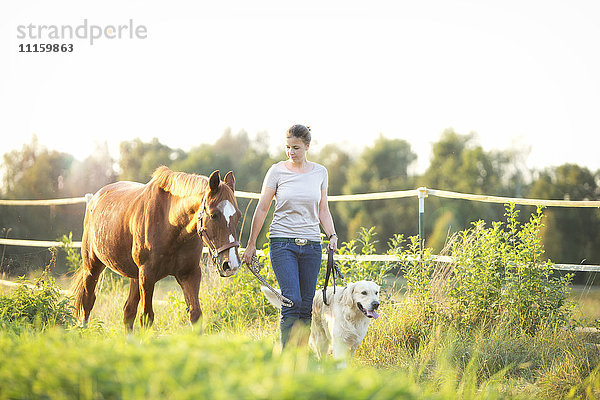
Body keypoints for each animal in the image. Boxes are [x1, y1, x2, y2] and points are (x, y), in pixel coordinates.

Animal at [74, 166, 243, 328]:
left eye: (238, 216)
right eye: (214, 215)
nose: (231, 264)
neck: (170, 224)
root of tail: (95, 198)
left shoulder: (189, 274)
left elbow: (195, 315)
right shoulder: (147, 276)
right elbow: (146, 317)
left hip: (135, 276)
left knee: (128, 311)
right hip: (93, 267)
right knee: (87, 303)